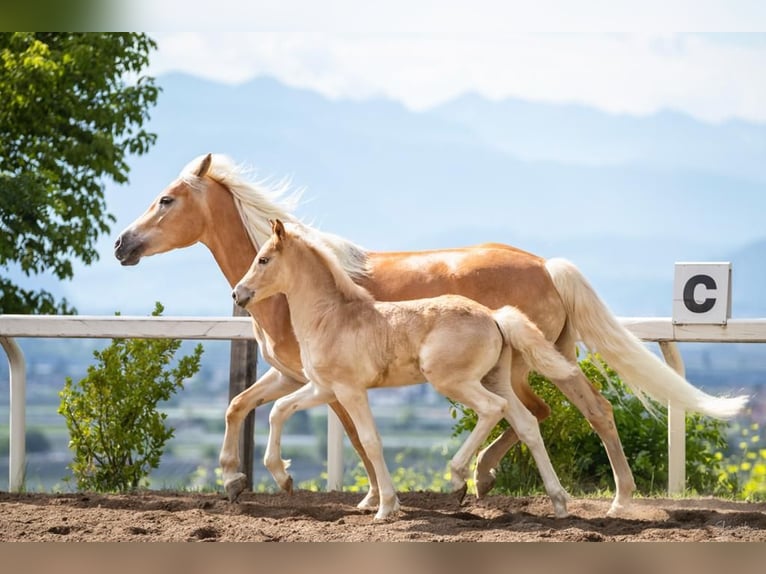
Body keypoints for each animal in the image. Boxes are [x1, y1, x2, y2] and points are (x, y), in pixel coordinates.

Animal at [231, 219, 580, 520]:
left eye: (263, 259)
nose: (238, 293)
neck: (330, 317)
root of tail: (494, 316)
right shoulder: (323, 388)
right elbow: (279, 409)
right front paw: (283, 477)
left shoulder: (349, 390)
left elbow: (370, 440)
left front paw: (386, 507)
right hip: (495, 379)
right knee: (527, 423)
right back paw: (559, 503)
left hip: (454, 381)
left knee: (493, 409)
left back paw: (458, 479)